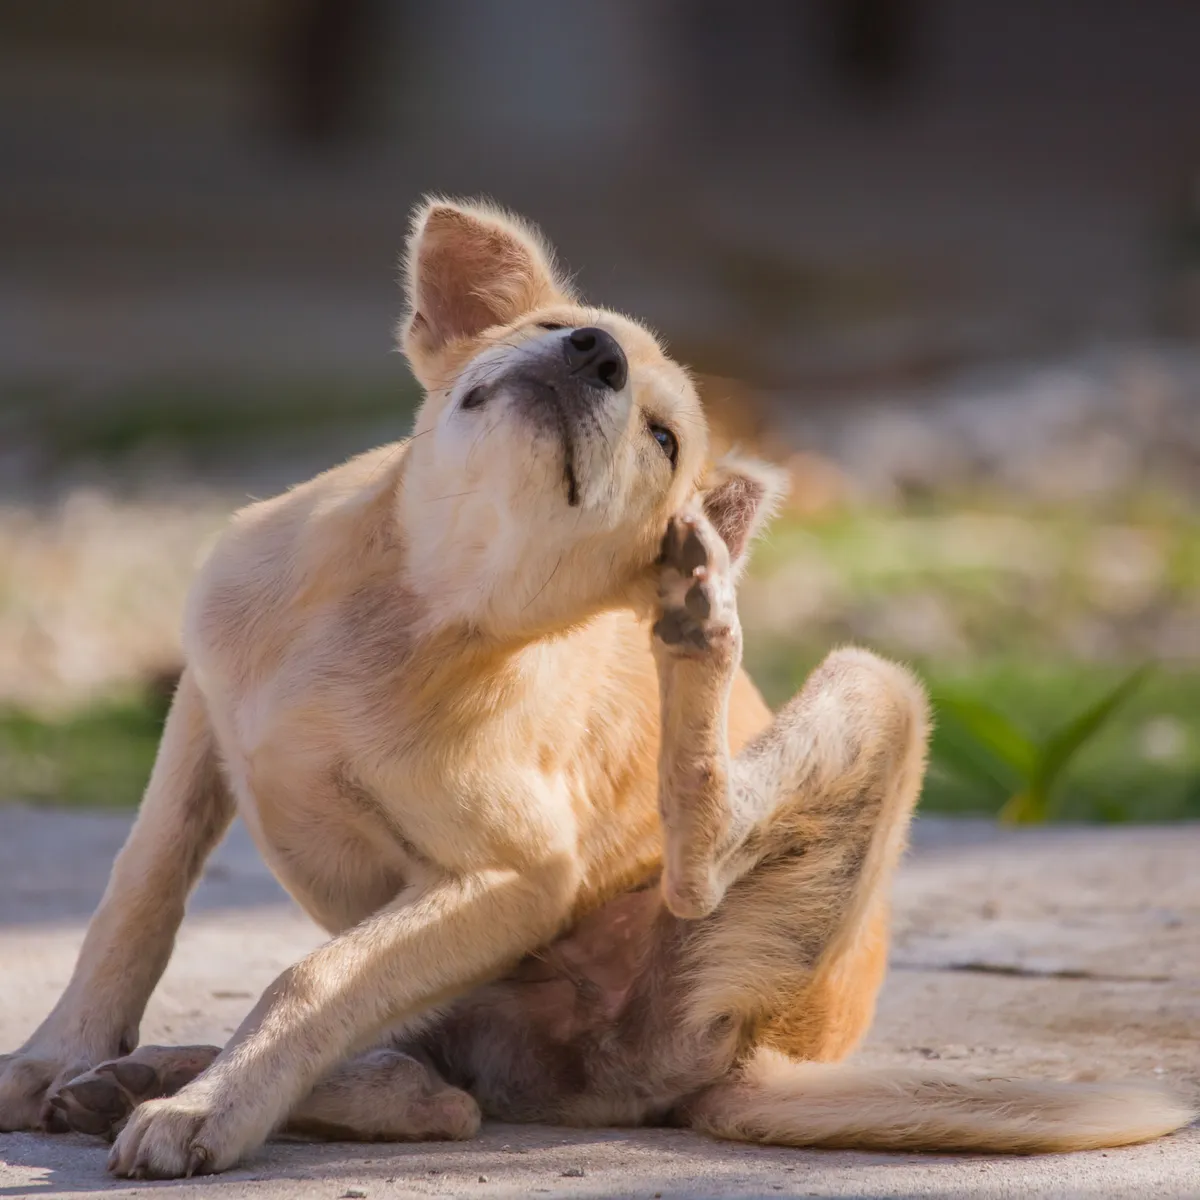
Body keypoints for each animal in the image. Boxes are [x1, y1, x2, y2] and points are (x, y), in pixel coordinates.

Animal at [2, 196, 1190, 1171]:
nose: (593, 354)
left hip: (867, 706)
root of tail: (753, 1064)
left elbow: (314, 977)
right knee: (439, 1091)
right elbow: (138, 892)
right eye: (551, 329)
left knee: (659, 899)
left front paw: (207, 1112)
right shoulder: (202, 713)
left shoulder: (516, 874)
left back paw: (699, 631)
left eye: (663, 438)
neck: (411, 603)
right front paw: (60, 1052)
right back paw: (142, 1076)